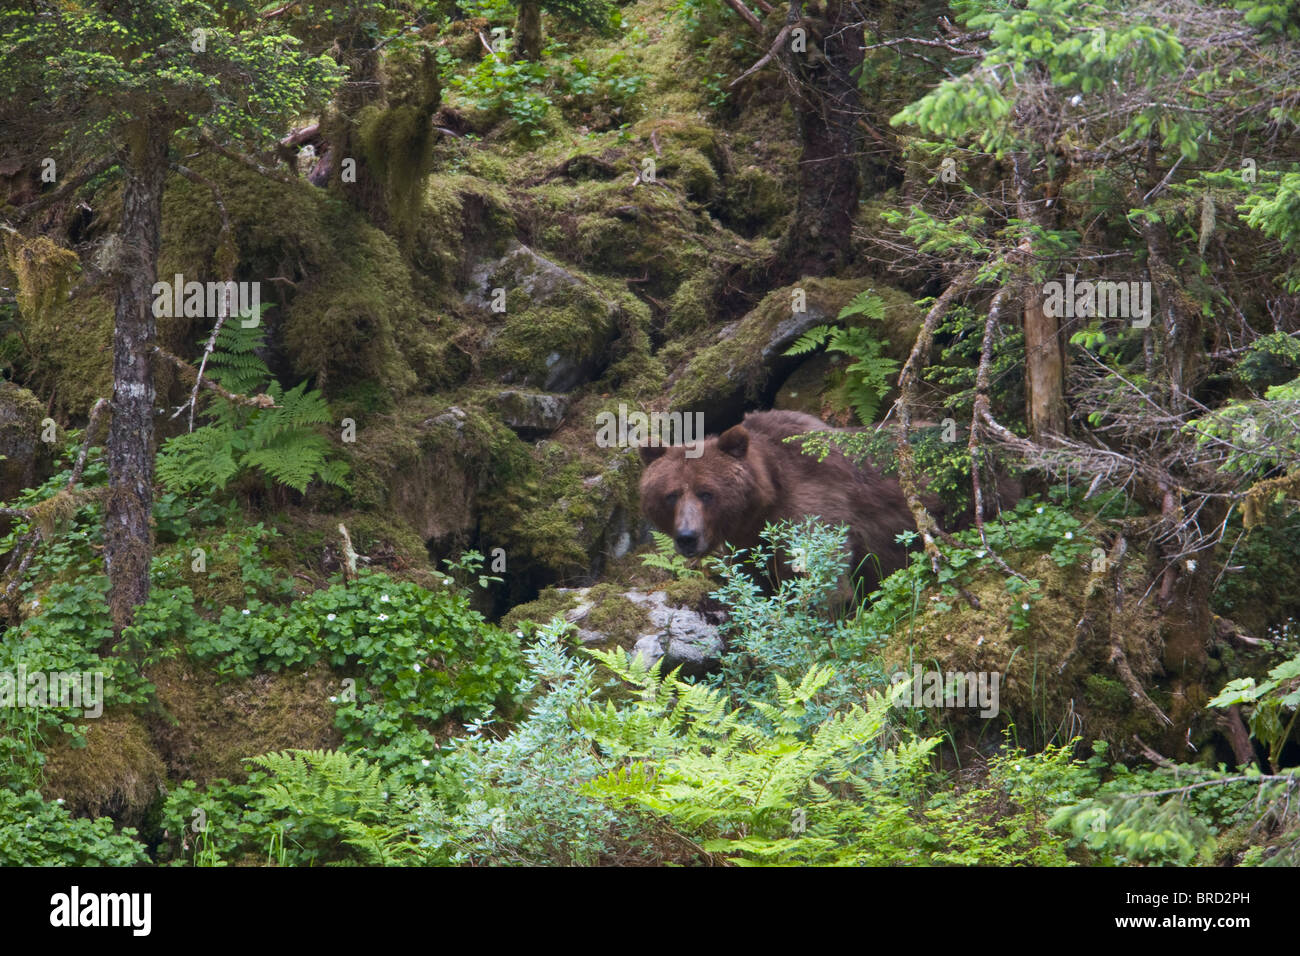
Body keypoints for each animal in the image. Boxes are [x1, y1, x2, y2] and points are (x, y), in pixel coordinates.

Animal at [638, 409, 936, 595]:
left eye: (706, 493)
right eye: (671, 495)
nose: (687, 537)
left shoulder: (812, 505)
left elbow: (816, 575)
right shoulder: (748, 540)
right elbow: (755, 580)